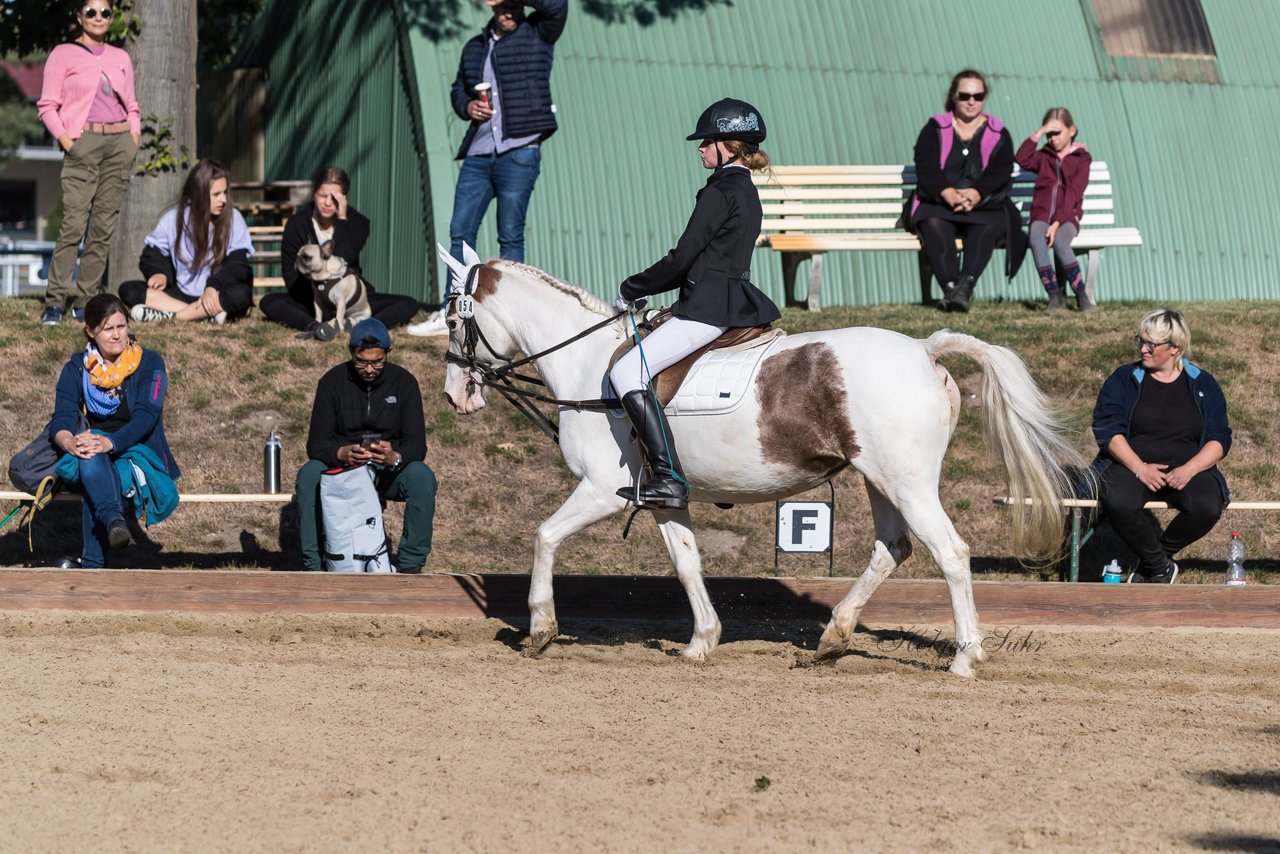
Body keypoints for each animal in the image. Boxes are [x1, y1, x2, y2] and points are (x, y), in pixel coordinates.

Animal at [437, 248, 1080, 681]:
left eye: (452, 318)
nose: (455, 395)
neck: (587, 362)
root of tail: (925, 350)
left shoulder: (600, 488)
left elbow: (544, 537)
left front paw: (541, 630)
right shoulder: (661, 495)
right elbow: (687, 563)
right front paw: (702, 641)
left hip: (909, 483)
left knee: (950, 553)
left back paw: (965, 658)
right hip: (881, 481)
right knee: (891, 549)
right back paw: (833, 638)